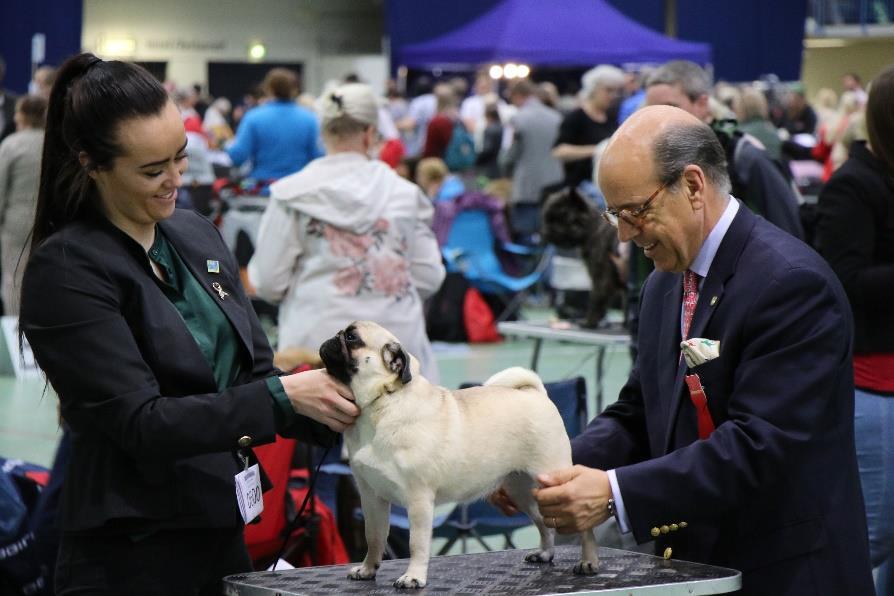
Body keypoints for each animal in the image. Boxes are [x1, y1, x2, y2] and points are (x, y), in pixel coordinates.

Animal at [318, 322, 600, 588]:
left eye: (352, 338)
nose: (333, 336)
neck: (381, 402)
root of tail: (534, 393)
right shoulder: (371, 497)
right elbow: (374, 537)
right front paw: (368, 570)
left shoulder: (419, 500)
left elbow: (416, 544)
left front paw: (413, 577)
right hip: (521, 489)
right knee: (543, 521)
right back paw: (545, 554)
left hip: (554, 477)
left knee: (582, 525)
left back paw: (589, 562)